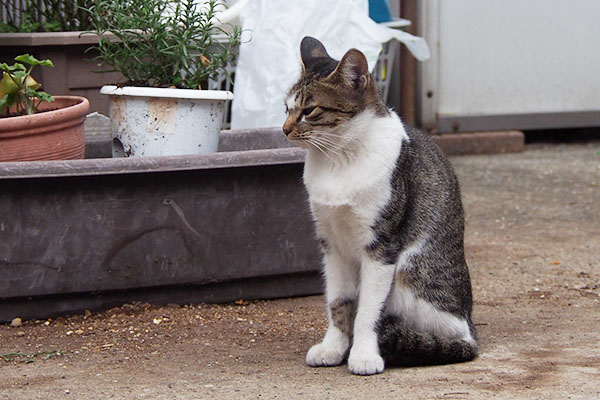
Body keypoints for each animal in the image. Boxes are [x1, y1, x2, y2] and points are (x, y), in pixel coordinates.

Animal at [282, 36, 478, 376]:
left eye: (309, 110)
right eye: (286, 108)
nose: (284, 129)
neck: (338, 160)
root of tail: (471, 324)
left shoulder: (381, 246)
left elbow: (368, 311)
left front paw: (363, 354)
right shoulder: (331, 244)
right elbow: (338, 303)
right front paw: (334, 347)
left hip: (411, 272)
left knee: (456, 339)